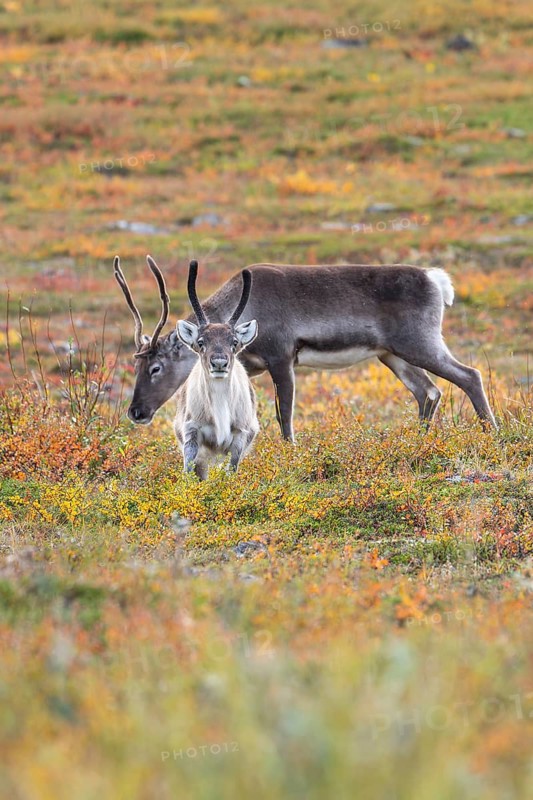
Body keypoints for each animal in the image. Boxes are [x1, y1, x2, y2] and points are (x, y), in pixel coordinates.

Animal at [113, 256, 497, 441]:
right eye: (135, 365)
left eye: (156, 367)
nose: (136, 412)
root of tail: (436, 279)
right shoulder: (248, 366)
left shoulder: (282, 358)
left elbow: (285, 414)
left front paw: (291, 451)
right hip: (392, 354)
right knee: (428, 392)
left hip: (420, 343)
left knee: (469, 375)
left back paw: (492, 433)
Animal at [173, 261, 258, 479]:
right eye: (201, 342)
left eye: (234, 342)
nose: (219, 362)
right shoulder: (191, 431)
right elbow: (188, 469)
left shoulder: (240, 435)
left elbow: (231, 470)